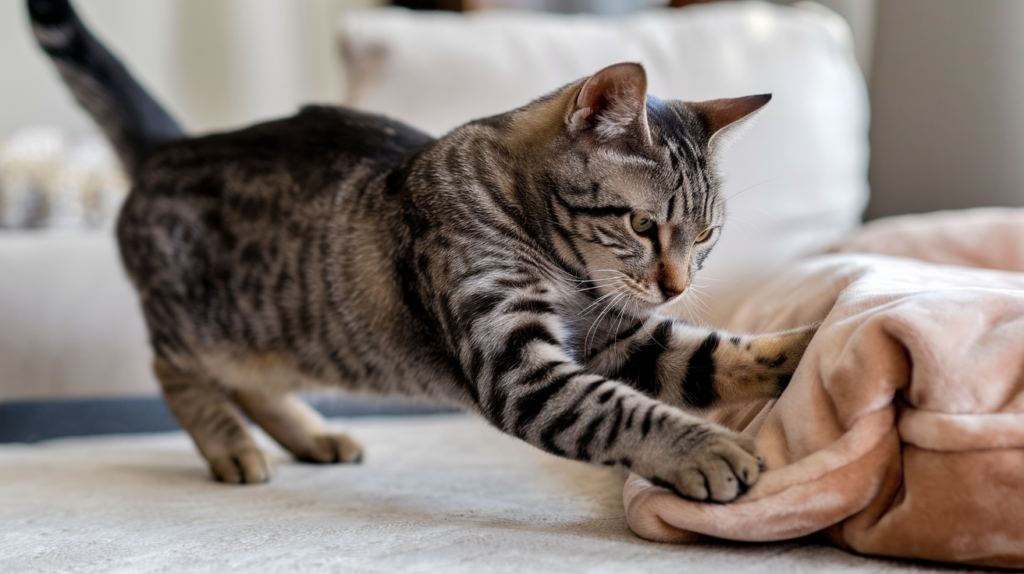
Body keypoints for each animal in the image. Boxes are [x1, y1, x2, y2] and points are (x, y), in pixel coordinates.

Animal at [28, 0, 819, 501]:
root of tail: (170, 147)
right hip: (194, 322)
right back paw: (231, 446)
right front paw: (706, 450)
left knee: (255, 378)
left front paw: (813, 340)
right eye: (642, 225)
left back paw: (312, 434)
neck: (563, 268)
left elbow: (714, 356)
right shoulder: (519, 363)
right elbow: (621, 411)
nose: (677, 285)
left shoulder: (615, 336)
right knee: (176, 369)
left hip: (280, 331)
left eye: (706, 235)